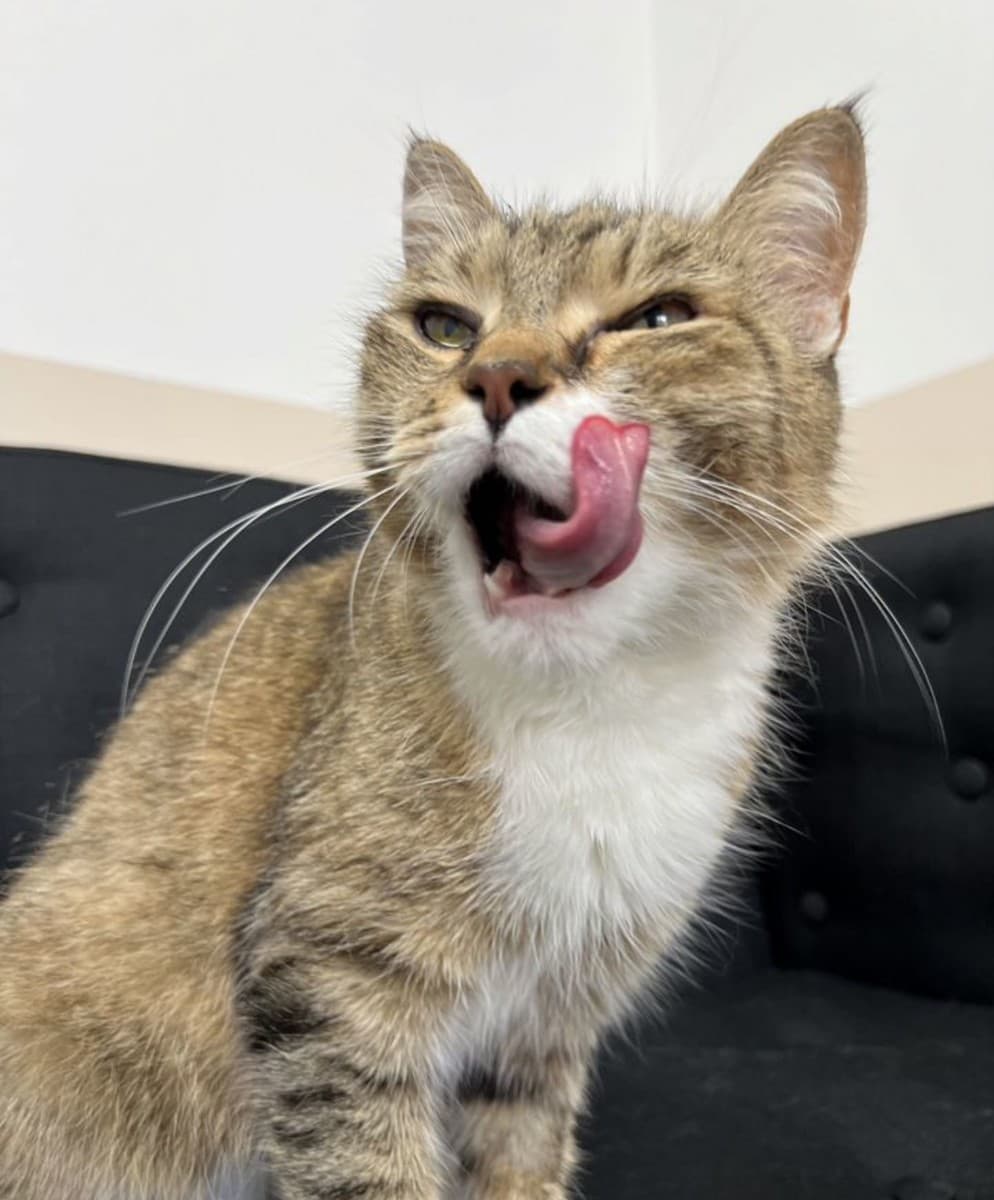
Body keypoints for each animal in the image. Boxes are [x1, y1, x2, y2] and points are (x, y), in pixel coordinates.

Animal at [0, 105, 865, 1200]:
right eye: (447, 325)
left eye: (660, 318)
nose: (497, 376)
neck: (587, 702)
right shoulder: (328, 975)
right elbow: (366, 1162)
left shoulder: (544, 1023)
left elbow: (521, 1155)